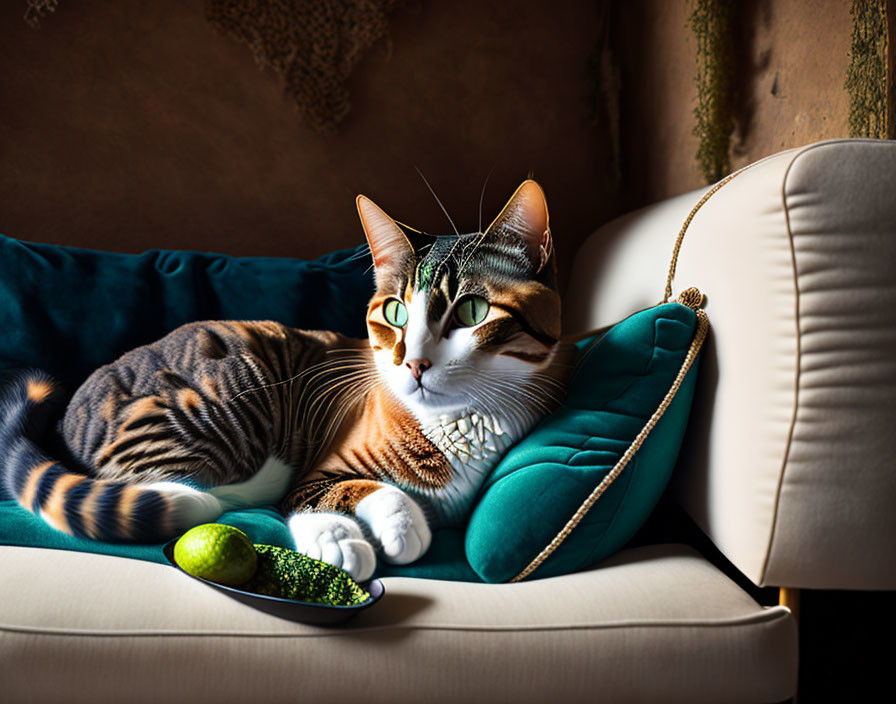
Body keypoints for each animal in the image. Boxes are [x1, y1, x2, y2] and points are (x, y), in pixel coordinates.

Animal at [0, 179, 576, 580]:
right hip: (219, 400)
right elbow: (320, 494)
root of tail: (70, 411)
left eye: (472, 310)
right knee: (160, 487)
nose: (412, 362)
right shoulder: (320, 469)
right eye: (395, 312)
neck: (456, 425)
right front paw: (348, 537)